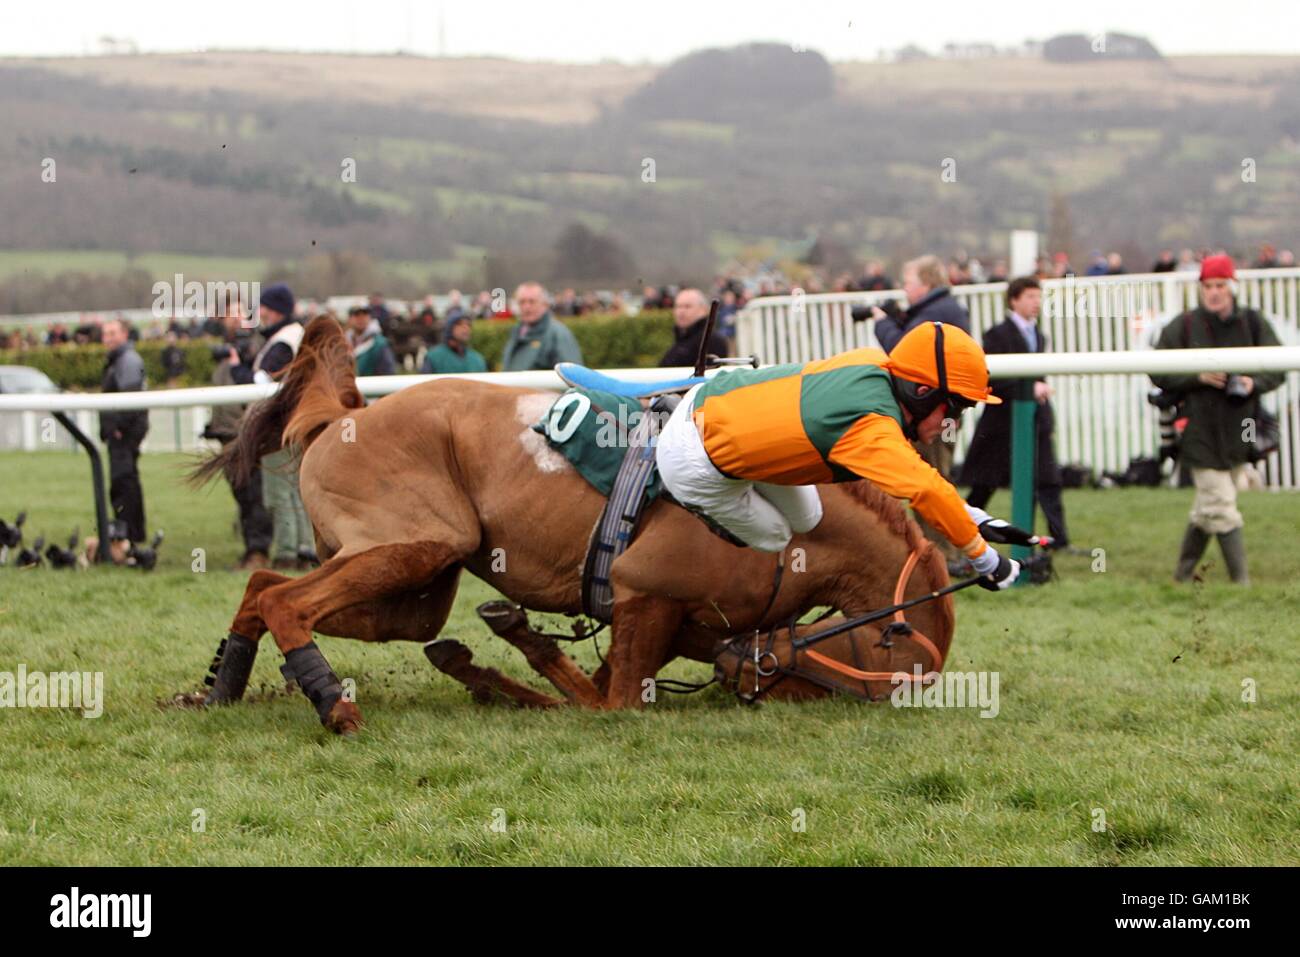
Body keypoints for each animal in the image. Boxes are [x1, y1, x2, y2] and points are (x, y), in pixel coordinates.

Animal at [188, 315, 951, 733]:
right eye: (874, 656)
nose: (750, 674)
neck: (796, 542)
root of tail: (343, 414)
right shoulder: (646, 594)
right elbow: (606, 702)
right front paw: (512, 643)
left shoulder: (682, 625)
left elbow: (590, 690)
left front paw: (487, 663)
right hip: (420, 544)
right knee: (290, 601)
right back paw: (331, 704)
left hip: (416, 586)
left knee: (266, 586)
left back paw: (221, 686)